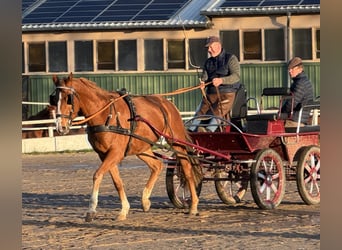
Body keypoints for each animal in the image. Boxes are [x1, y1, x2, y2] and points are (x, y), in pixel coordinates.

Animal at [50, 73, 200, 221]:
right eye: (54, 99)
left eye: (68, 98)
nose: (60, 127)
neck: (106, 114)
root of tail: (167, 103)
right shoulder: (104, 154)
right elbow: (117, 182)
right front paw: (124, 210)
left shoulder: (116, 153)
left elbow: (97, 175)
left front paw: (91, 210)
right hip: (141, 147)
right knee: (157, 165)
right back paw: (145, 200)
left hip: (176, 142)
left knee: (187, 168)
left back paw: (193, 205)